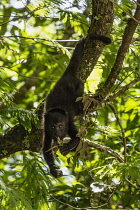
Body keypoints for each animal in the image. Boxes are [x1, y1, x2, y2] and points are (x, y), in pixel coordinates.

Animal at [42, 34, 111, 177]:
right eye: (52, 127)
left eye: (60, 126)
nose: (57, 132)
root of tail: (66, 77)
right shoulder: (45, 128)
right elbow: (45, 149)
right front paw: (53, 170)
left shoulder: (68, 121)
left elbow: (79, 137)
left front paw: (70, 145)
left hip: (79, 86)